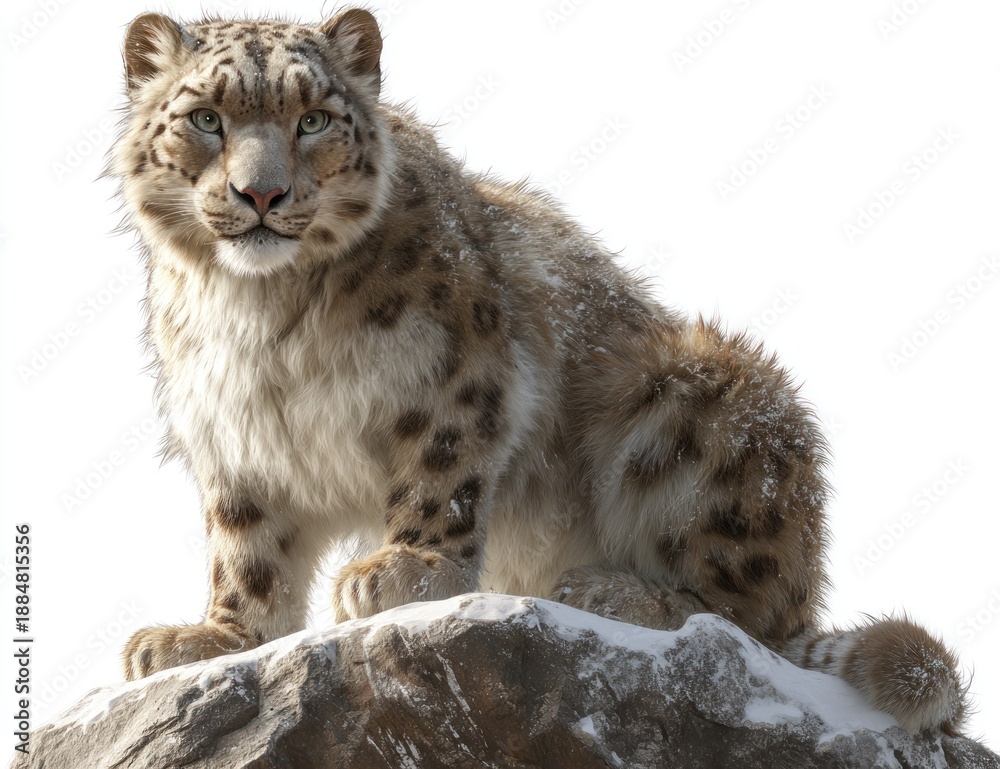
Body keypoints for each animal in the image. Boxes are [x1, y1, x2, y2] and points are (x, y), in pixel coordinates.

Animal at [111, 8, 968, 735]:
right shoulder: (234, 433)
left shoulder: (458, 375)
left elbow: (441, 476)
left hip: (705, 412)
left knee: (750, 620)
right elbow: (248, 551)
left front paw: (407, 568)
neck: (261, 315)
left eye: (313, 118)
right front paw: (210, 638)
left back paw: (606, 588)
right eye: (206, 118)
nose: (261, 192)